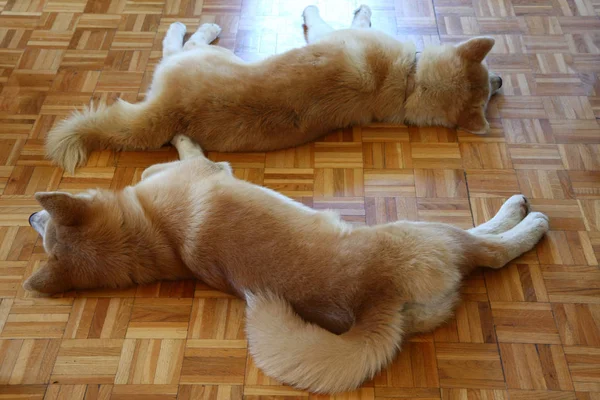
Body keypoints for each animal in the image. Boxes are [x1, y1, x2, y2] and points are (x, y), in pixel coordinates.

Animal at [47, 4, 504, 173]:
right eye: (490, 76)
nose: (502, 82)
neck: (410, 81)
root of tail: (169, 109)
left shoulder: (330, 33)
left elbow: (325, 18)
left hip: (203, 59)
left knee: (176, 46)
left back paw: (194, 28)